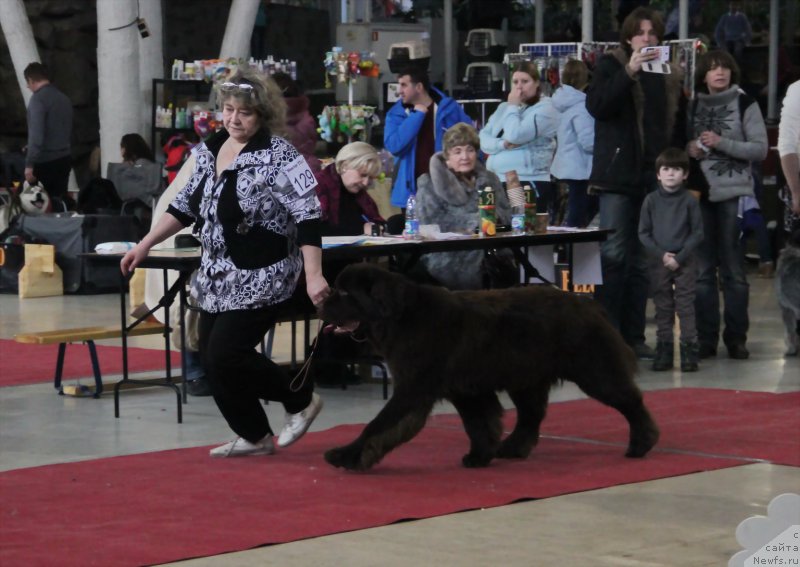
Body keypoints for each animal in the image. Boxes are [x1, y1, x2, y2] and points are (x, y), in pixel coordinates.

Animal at [320, 264, 664, 472]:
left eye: (346, 293)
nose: (322, 301)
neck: (400, 317)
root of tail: (590, 304)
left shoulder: (413, 388)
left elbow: (378, 424)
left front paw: (347, 455)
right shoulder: (465, 390)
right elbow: (479, 424)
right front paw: (479, 455)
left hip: (595, 372)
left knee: (631, 402)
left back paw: (641, 443)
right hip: (526, 379)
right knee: (530, 416)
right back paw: (512, 448)